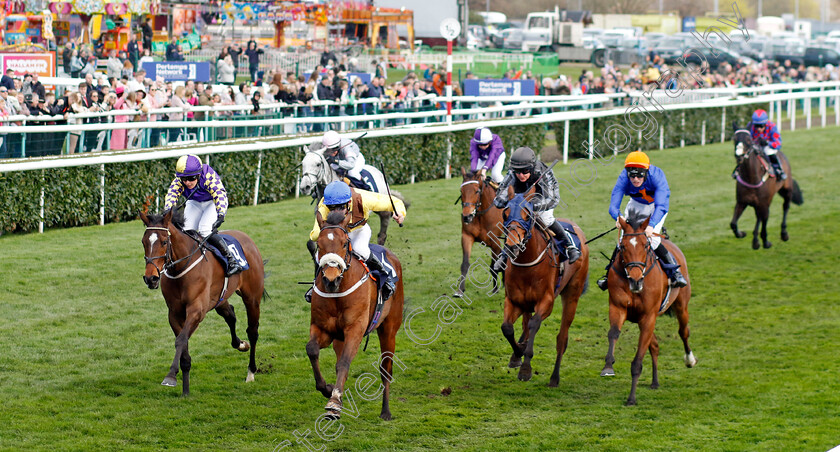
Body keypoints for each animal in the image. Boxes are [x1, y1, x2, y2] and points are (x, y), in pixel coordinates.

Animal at [141, 210, 264, 394]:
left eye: (164, 241)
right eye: (143, 242)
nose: (151, 278)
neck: (181, 268)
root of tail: (246, 237)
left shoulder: (196, 310)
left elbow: (181, 339)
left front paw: (170, 376)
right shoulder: (174, 313)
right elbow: (183, 341)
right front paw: (185, 389)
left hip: (252, 298)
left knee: (253, 331)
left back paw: (251, 371)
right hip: (220, 299)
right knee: (230, 315)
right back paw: (241, 344)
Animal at [306, 211, 406, 420]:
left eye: (345, 243)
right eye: (319, 245)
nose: (331, 279)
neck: (337, 293)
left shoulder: (355, 329)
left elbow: (345, 362)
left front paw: (334, 404)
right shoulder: (323, 329)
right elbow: (312, 350)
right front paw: (328, 389)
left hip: (389, 329)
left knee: (385, 368)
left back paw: (385, 411)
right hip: (339, 338)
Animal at [456, 168, 502, 298]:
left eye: (477, 191)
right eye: (461, 191)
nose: (467, 216)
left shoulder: (495, 242)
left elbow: (494, 266)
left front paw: (495, 290)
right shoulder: (467, 237)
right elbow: (465, 264)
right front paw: (460, 291)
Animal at [498, 189, 592, 386]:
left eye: (527, 215)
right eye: (505, 214)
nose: (512, 247)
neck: (526, 265)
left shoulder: (546, 301)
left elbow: (534, 324)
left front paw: (526, 369)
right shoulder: (514, 300)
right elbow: (507, 327)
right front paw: (518, 353)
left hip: (572, 294)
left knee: (562, 339)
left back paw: (554, 378)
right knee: (525, 325)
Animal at [600, 212, 700, 406]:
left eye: (646, 246)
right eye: (622, 246)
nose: (635, 280)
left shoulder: (648, 316)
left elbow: (638, 360)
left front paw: (631, 398)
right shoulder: (618, 307)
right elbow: (614, 333)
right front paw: (608, 366)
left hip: (681, 306)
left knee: (683, 332)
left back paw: (689, 359)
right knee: (654, 346)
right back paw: (655, 381)